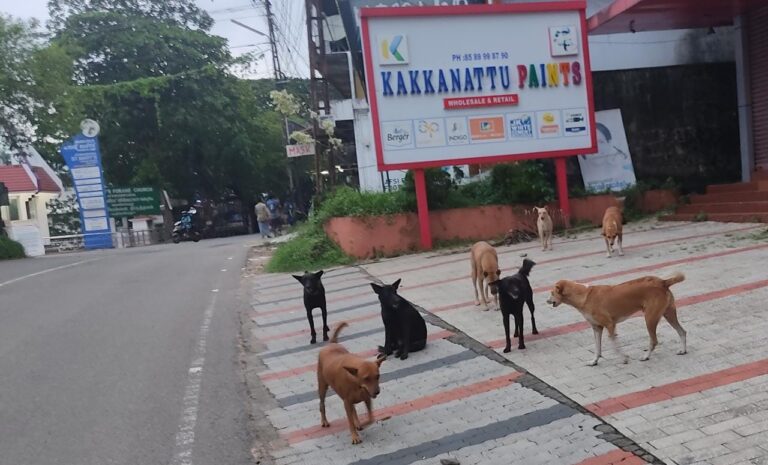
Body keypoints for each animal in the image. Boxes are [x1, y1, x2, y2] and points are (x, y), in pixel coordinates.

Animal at [544, 272, 688, 366]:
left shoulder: (610, 325)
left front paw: (624, 358)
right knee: (682, 331)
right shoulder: (597, 328)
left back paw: (646, 356)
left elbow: (615, 347)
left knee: (654, 341)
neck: (584, 296)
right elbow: (597, 348)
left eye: (552, 293)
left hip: (650, 319)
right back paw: (683, 350)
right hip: (668, 314)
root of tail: (662, 282)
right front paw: (594, 361)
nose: (546, 301)